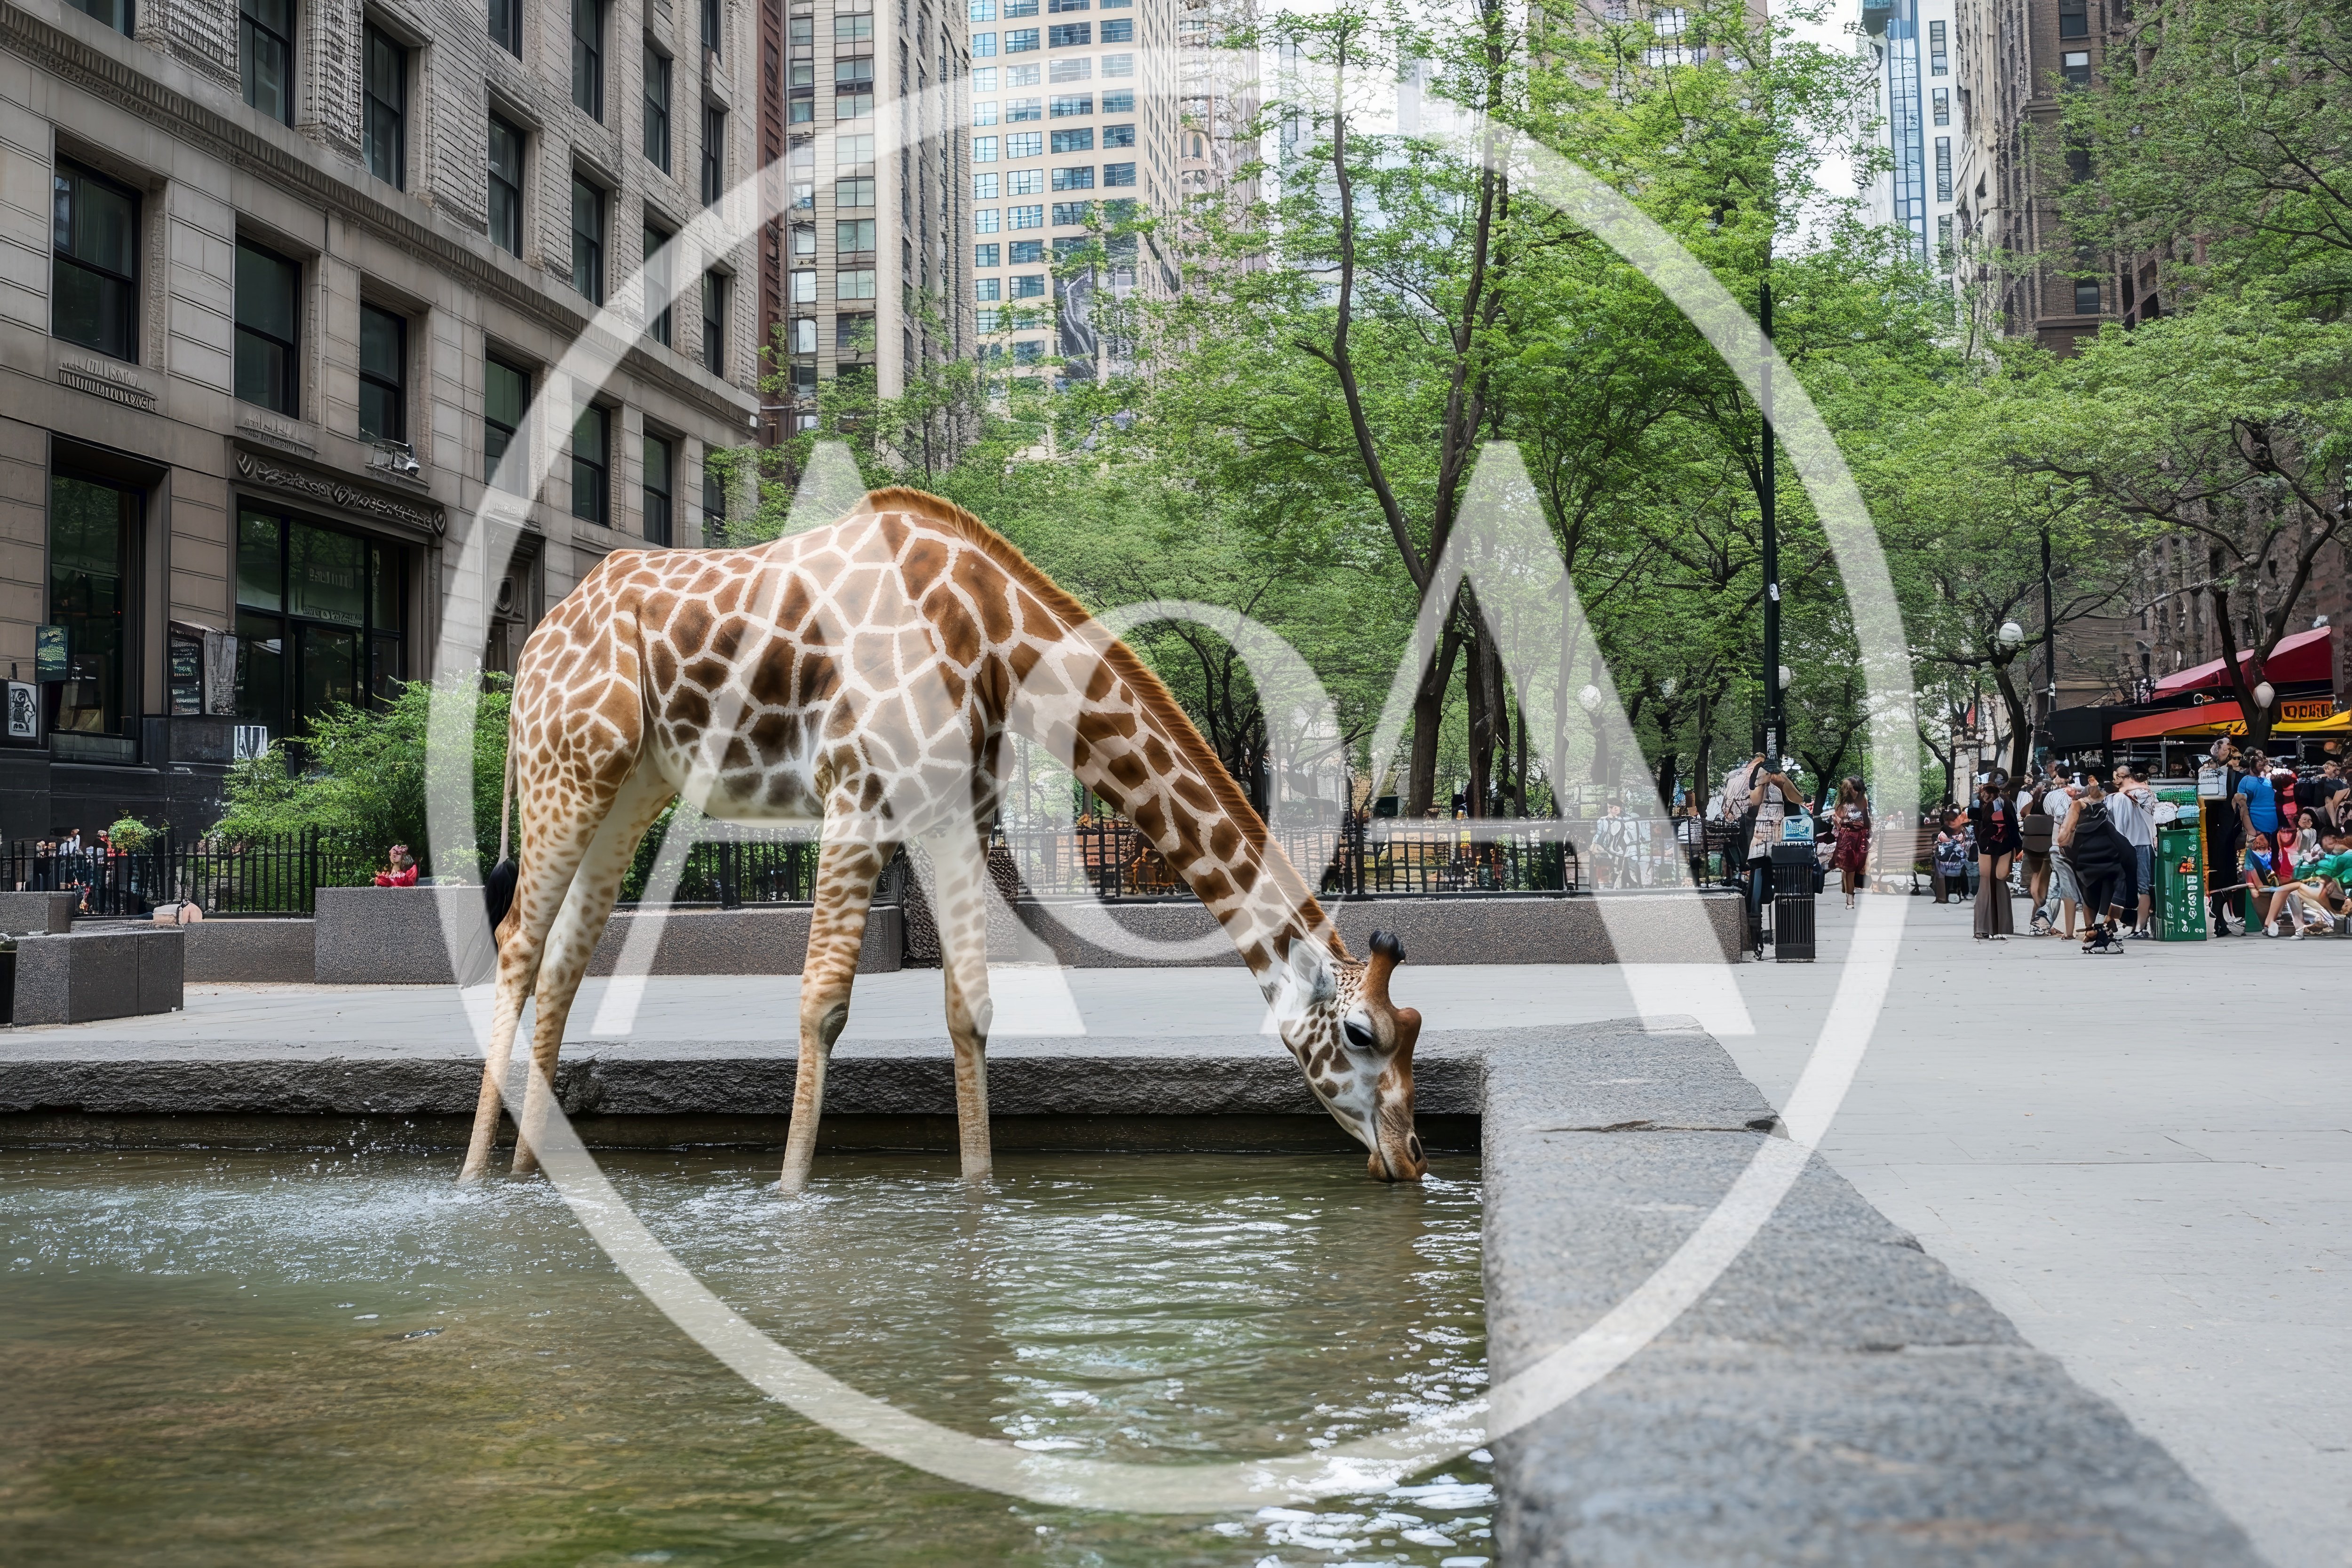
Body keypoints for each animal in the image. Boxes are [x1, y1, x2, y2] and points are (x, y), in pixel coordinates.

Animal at [457, 487, 1427, 1190]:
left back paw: (534, 1167)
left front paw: (977, 1191)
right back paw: (474, 1178)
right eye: (1361, 1033)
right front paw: (788, 1198)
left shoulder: (954, 813)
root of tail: (533, 646)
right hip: (566, 769)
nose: (1411, 1156)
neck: (997, 638)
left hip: (631, 785)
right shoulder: (854, 799)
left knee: (564, 959)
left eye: (1412, 1024)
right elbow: (822, 1004)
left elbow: (973, 1009)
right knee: (517, 942)